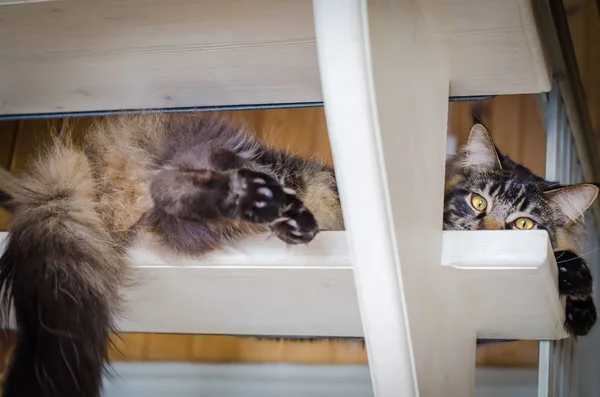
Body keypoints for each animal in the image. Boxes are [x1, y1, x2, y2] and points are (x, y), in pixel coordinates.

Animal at [0, 113, 596, 396]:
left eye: (523, 225)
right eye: (477, 201)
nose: (489, 230)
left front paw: (580, 302)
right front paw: (576, 280)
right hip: (251, 162)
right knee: (179, 184)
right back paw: (274, 208)